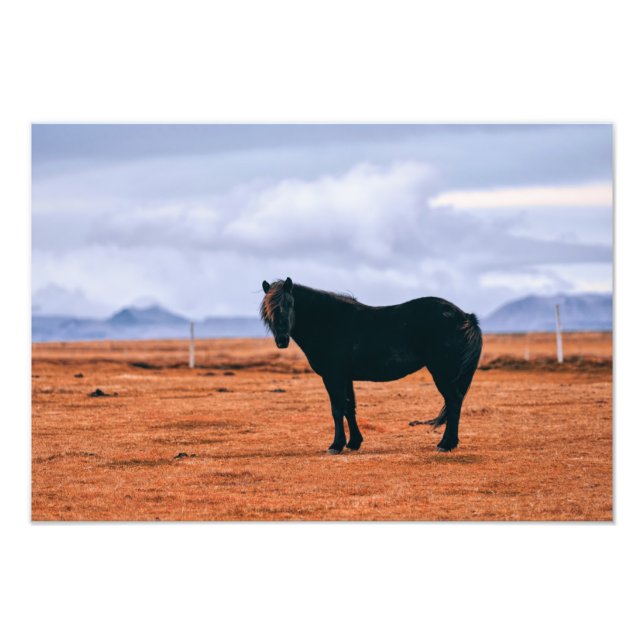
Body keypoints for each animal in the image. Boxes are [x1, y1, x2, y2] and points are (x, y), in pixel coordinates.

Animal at [260, 277, 482, 454]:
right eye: (268, 310)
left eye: (289, 303)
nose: (282, 340)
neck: (328, 322)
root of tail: (465, 317)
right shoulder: (345, 377)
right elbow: (349, 408)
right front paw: (354, 443)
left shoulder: (333, 376)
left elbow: (337, 409)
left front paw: (336, 445)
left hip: (443, 373)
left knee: (454, 402)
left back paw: (445, 444)